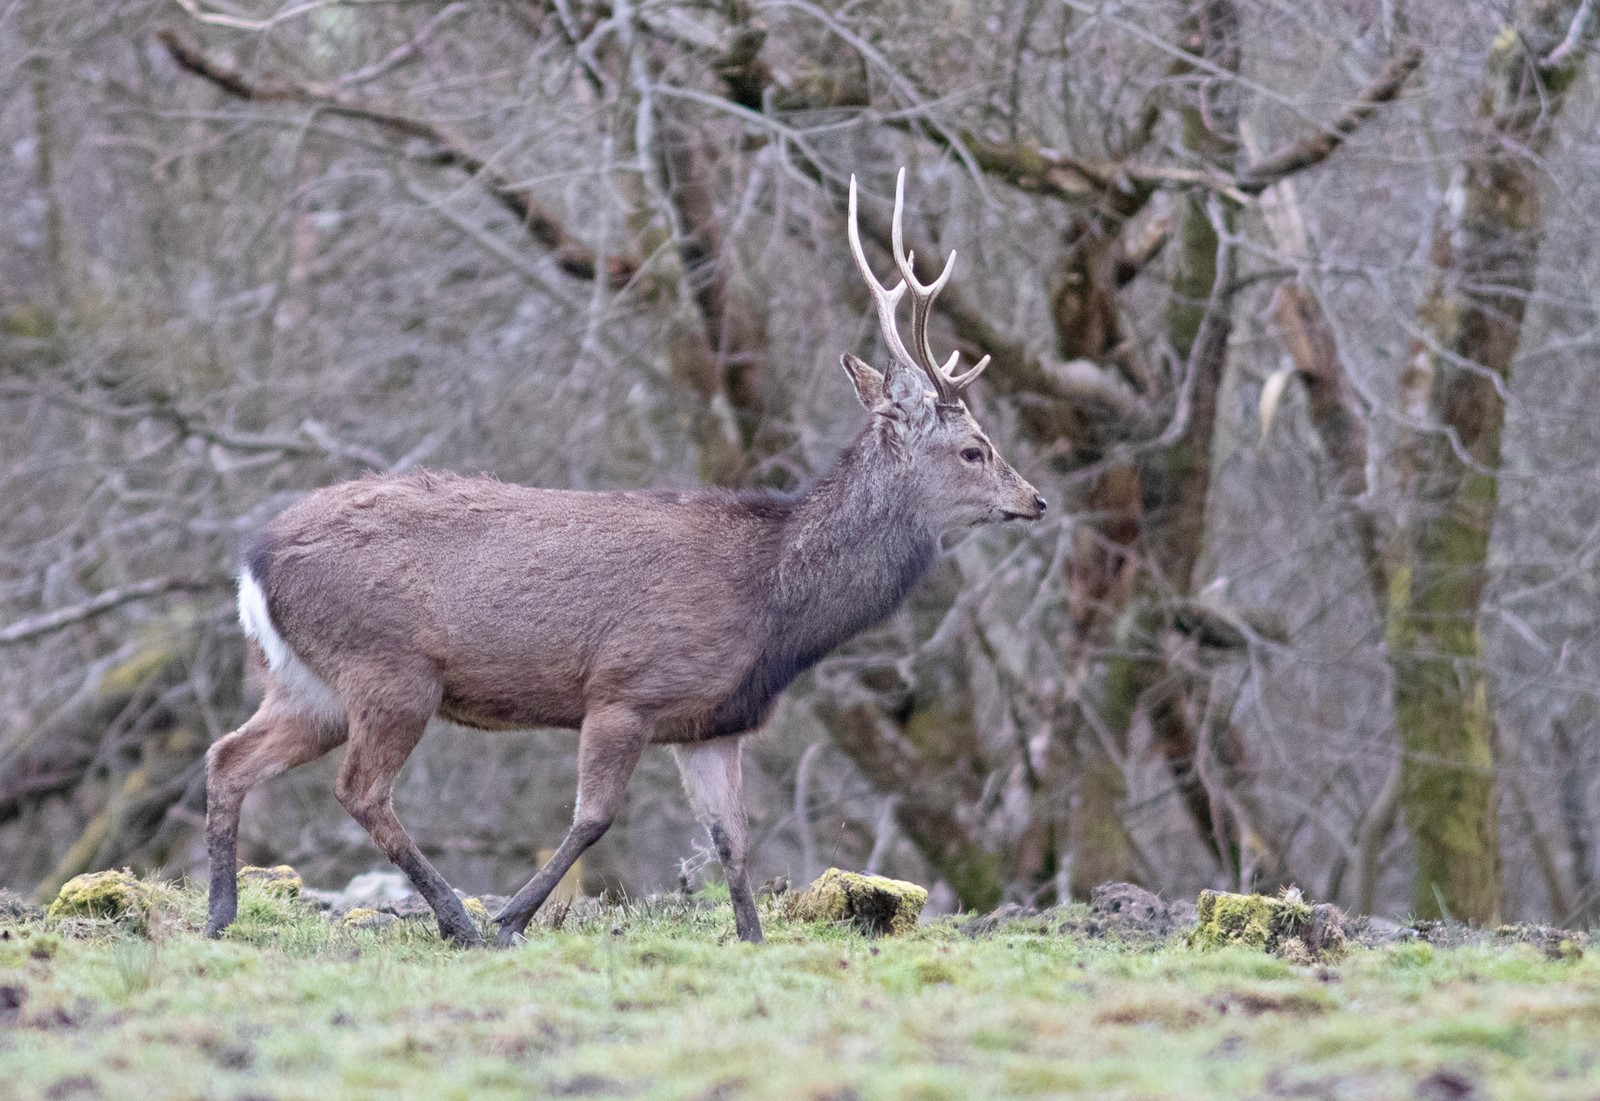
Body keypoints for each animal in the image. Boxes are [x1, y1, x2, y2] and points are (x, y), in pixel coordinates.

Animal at [203, 169, 1049, 947]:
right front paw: (512, 916)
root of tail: (253, 561)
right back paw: (456, 918)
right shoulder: (627, 686)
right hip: (390, 667)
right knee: (360, 789)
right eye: (976, 449)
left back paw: (220, 915)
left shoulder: (712, 721)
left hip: (309, 681)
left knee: (228, 756)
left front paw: (752, 938)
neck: (771, 600)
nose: (1037, 499)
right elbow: (594, 818)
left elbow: (733, 841)